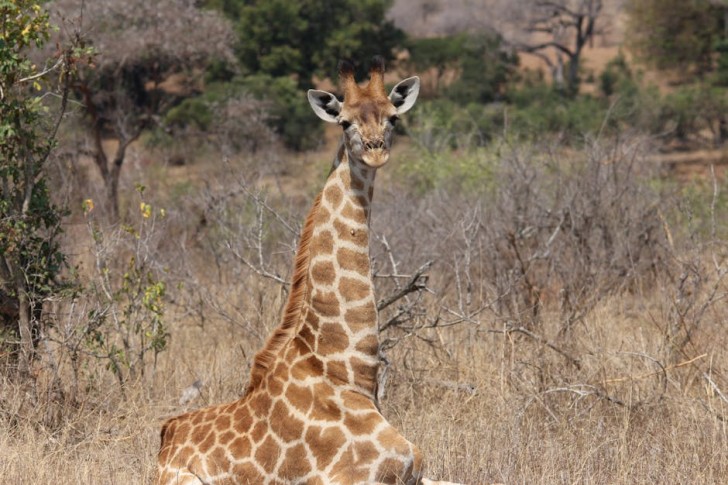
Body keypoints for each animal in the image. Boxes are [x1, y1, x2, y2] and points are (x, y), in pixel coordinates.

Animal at [157, 57, 463, 485]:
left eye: (393, 118)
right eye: (345, 122)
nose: (375, 152)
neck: (346, 369)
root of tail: (164, 442)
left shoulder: (418, 472)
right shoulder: (362, 477)